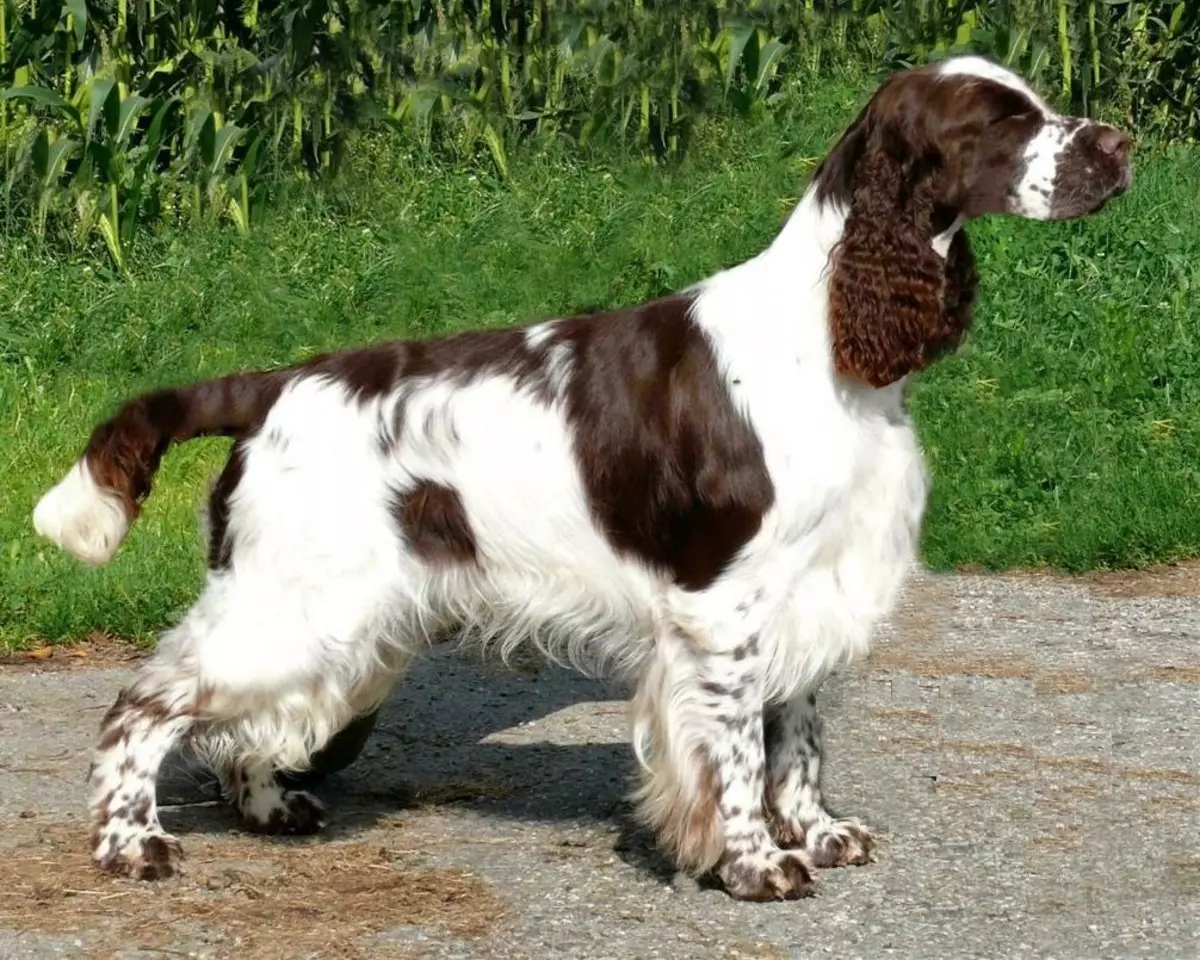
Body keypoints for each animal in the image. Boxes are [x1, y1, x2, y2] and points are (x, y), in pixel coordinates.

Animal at [32, 58, 1128, 902]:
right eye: (1004, 121)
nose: (1120, 145)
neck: (832, 339)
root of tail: (275, 386)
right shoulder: (725, 604)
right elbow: (737, 751)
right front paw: (756, 864)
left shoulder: (814, 590)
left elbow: (799, 736)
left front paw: (818, 833)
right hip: (295, 601)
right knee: (145, 706)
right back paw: (131, 842)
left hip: (345, 617)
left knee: (250, 724)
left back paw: (269, 806)